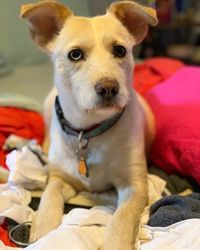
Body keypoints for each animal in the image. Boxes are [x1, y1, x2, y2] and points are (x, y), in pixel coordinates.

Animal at [20, 1, 158, 250]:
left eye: (120, 50)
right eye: (75, 54)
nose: (109, 88)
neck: (89, 131)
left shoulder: (135, 185)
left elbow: (122, 217)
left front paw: (116, 242)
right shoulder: (60, 178)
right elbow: (49, 195)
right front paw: (42, 231)